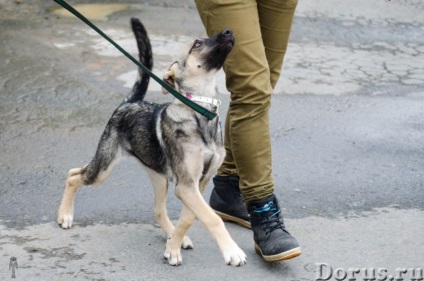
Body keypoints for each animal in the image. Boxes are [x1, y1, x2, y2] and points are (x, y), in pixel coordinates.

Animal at [58, 18, 247, 266]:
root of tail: (129, 103)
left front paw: (173, 246)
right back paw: (65, 215)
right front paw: (231, 251)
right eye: (196, 44)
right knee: (74, 175)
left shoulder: (197, 183)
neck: (199, 111)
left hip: (159, 176)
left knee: (157, 209)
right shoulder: (187, 185)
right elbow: (212, 217)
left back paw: (171, 234)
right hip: (104, 166)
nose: (229, 30)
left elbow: (190, 217)